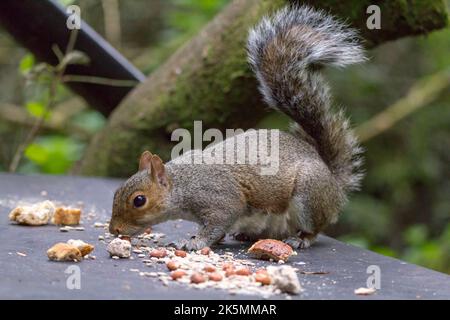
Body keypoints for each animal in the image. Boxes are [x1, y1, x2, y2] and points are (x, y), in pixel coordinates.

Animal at [108, 4, 366, 250]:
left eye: (139, 200)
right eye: (116, 192)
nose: (114, 230)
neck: (183, 184)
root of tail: (333, 182)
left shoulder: (220, 200)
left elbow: (218, 223)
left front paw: (195, 242)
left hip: (308, 195)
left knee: (315, 227)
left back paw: (301, 239)